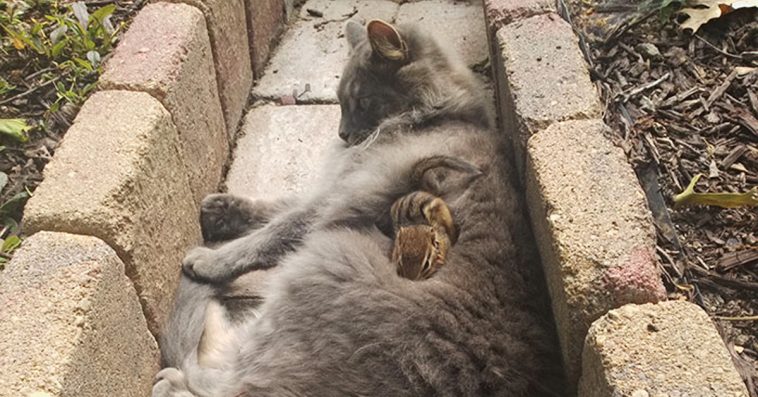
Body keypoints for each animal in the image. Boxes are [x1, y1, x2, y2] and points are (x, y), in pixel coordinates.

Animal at [154, 19, 568, 396]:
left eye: (363, 101)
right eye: (338, 102)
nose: (342, 134)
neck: (437, 115)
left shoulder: (345, 195)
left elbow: (273, 231)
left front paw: (212, 260)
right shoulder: (334, 186)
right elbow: (277, 206)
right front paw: (222, 210)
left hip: (321, 263)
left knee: (224, 380)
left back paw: (175, 370)